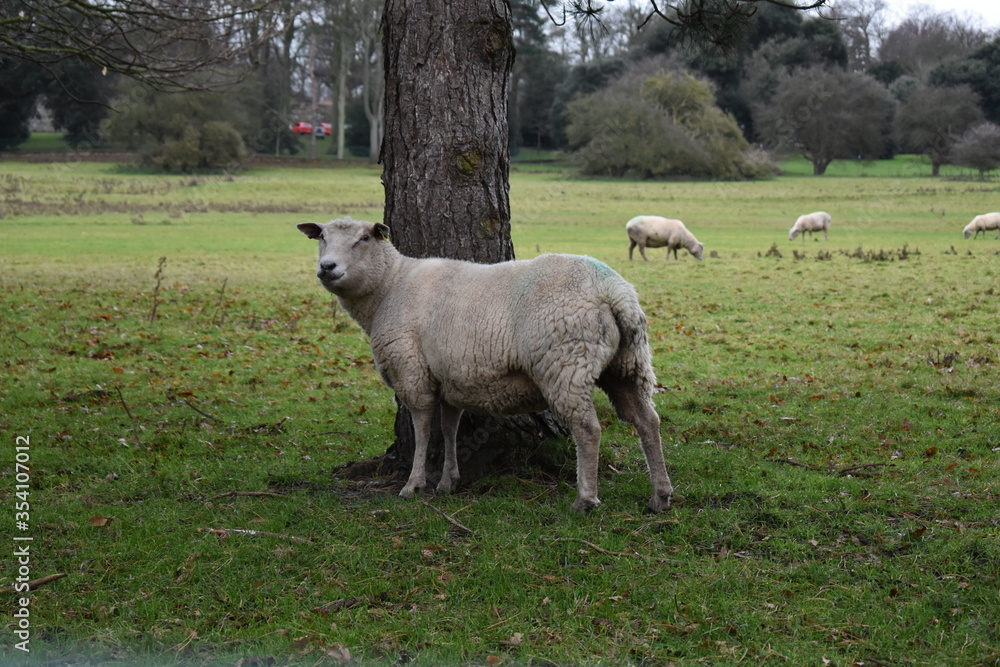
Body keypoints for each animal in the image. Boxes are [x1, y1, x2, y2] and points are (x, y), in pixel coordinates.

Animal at [298, 216, 673, 513]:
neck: (389, 286)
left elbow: (422, 429)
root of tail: (613, 290)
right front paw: (448, 481)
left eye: (364, 238)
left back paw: (586, 499)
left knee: (588, 428)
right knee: (647, 421)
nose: (327, 267)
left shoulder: (412, 372)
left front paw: (413, 485)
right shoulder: (448, 379)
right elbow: (449, 428)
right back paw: (660, 496)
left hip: (565, 363)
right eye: (322, 237)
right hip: (629, 364)